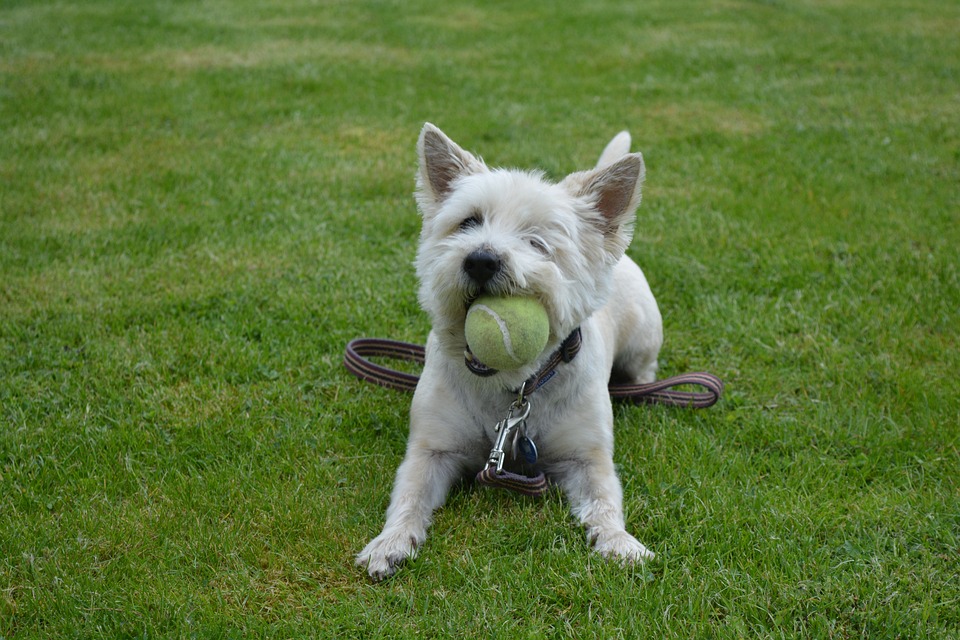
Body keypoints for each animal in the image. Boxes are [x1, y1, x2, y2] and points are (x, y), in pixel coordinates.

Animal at [356, 125, 664, 580]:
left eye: (537, 242)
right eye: (468, 222)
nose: (480, 260)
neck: (510, 388)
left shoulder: (587, 457)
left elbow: (604, 501)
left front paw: (620, 543)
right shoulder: (432, 450)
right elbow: (409, 497)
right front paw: (388, 543)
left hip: (643, 338)